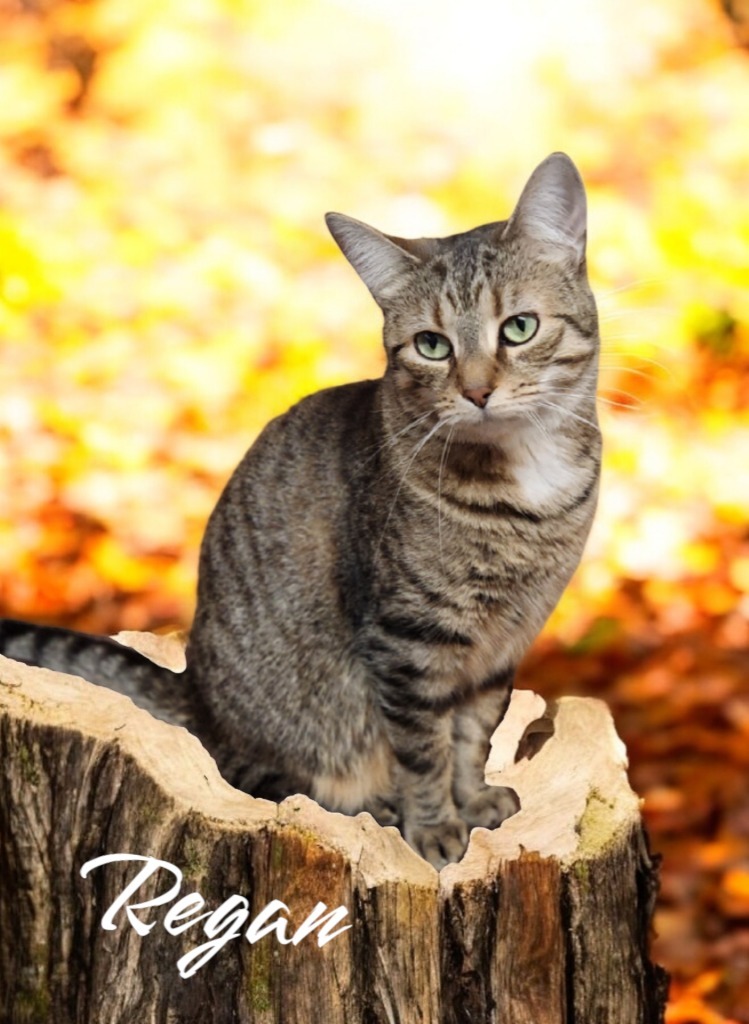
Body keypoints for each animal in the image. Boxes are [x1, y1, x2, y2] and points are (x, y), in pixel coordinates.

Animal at [0, 151, 602, 868]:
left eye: (518, 328)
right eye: (431, 345)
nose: (477, 391)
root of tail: (195, 691)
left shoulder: (501, 645)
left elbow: (472, 733)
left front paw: (475, 799)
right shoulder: (406, 640)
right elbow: (424, 749)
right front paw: (433, 827)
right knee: (264, 775)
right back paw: (370, 803)